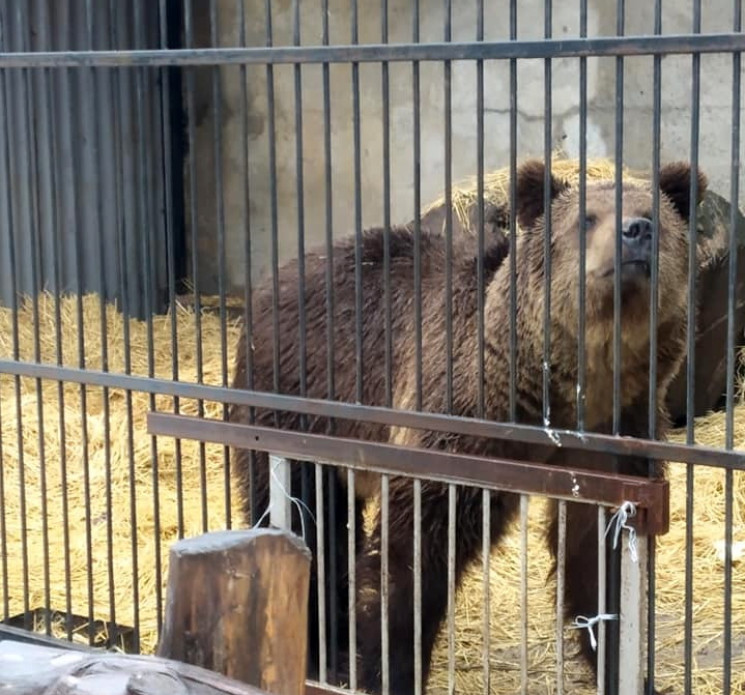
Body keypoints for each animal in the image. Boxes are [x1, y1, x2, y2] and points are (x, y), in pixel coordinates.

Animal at [230, 159, 708, 695]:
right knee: (305, 516)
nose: (635, 232)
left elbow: (599, 556)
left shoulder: (617, 437)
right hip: (298, 401)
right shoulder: (460, 425)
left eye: (657, 217)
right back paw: (322, 654)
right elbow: (417, 550)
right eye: (586, 218)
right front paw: (388, 669)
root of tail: (275, 276)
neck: (563, 397)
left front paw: (625, 669)